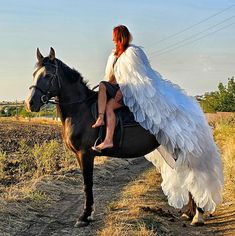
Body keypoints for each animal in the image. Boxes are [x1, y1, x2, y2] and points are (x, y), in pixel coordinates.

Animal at [25, 48, 202, 227]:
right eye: (34, 74)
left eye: (48, 75)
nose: (30, 103)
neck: (80, 110)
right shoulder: (78, 155)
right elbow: (86, 183)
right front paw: (88, 214)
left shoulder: (85, 154)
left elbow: (87, 183)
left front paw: (84, 216)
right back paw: (189, 213)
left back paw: (197, 216)